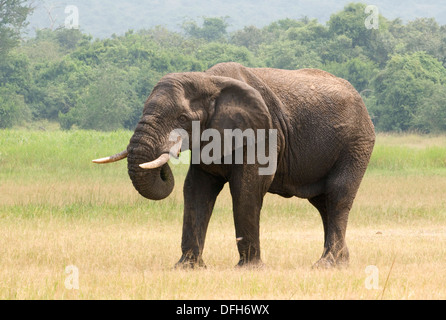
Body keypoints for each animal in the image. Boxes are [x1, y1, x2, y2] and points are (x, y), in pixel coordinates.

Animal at [94, 61, 376, 268]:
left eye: (183, 118)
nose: (165, 158)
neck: (208, 80)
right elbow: (195, 188)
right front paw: (187, 267)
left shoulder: (262, 133)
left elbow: (247, 188)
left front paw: (249, 268)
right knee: (322, 203)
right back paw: (341, 262)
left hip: (356, 143)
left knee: (337, 196)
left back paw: (327, 264)